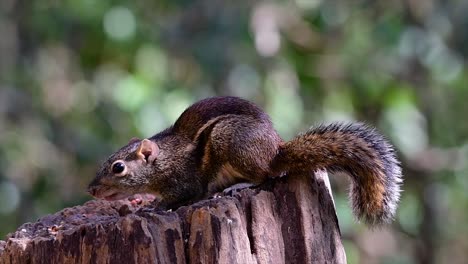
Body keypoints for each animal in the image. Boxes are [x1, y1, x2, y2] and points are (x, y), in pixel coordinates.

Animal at [88, 96, 402, 225]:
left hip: (232, 142)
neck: (164, 159)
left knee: (265, 176)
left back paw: (237, 186)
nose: (91, 189)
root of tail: (276, 153)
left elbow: (180, 196)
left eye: (118, 167)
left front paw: (153, 207)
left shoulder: (184, 180)